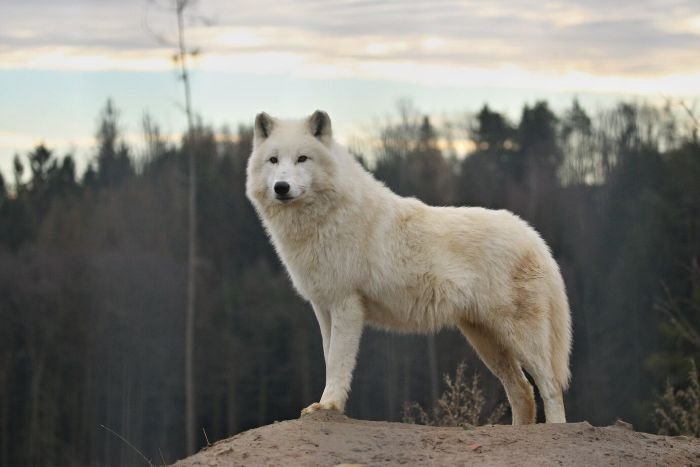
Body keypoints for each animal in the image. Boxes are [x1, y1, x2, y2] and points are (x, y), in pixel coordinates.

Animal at [245, 110, 572, 424]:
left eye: (302, 158)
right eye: (273, 160)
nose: (281, 187)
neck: (324, 219)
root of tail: (533, 236)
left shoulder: (346, 304)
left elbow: (338, 362)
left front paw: (329, 406)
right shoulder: (323, 307)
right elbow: (330, 359)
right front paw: (324, 405)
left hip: (519, 336)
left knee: (550, 386)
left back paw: (555, 428)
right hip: (486, 340)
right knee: (522, 390)